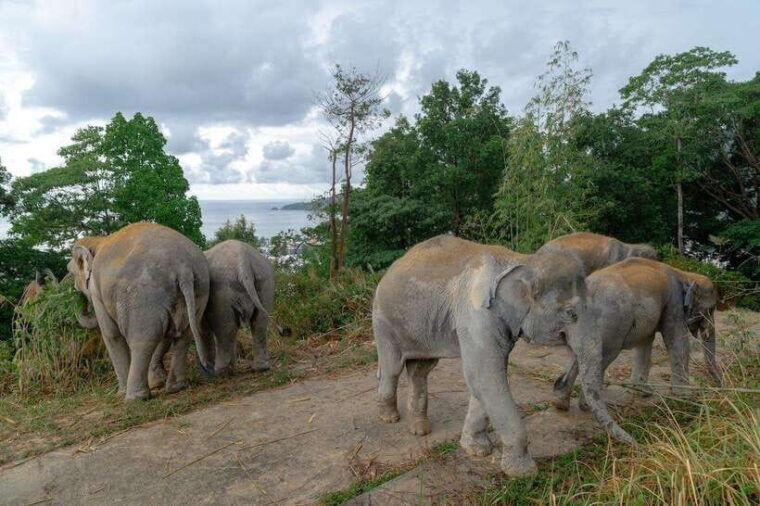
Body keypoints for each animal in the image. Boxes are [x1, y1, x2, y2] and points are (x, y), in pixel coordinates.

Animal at [67, 222, 211, 401]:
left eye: (71, 272)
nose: (75, 293)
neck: (98, 240)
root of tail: (183, 267)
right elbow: (166, 333)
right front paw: (156, 382)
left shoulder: (96, 290)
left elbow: (111, 334)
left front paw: (120, 393)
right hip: (200, 288)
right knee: (184, 335)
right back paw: (175, 388)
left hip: (143, 295)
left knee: (143, 340)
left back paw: (134, 398)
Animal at [372, 235, 633, 477]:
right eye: (571, 314)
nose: (633, 441)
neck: (523, 261)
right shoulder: (476, 315)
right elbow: (485, 375)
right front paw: (523, 473)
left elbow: (486, 379)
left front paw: (476, 450)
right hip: (383, 321)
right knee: (392, 367)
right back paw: (389, 417)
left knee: (421, 369)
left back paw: (419, 429)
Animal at [553, 258, 719, 411]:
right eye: (711, 309)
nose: (718, 387)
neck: (685, 274)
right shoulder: (674, 304)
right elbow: (677, 340)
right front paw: (686, 396)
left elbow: (645, 341)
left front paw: (643, 392)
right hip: (611, 324)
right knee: (601, 356)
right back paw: (587, 405)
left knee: (578, 354)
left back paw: (561, 403)